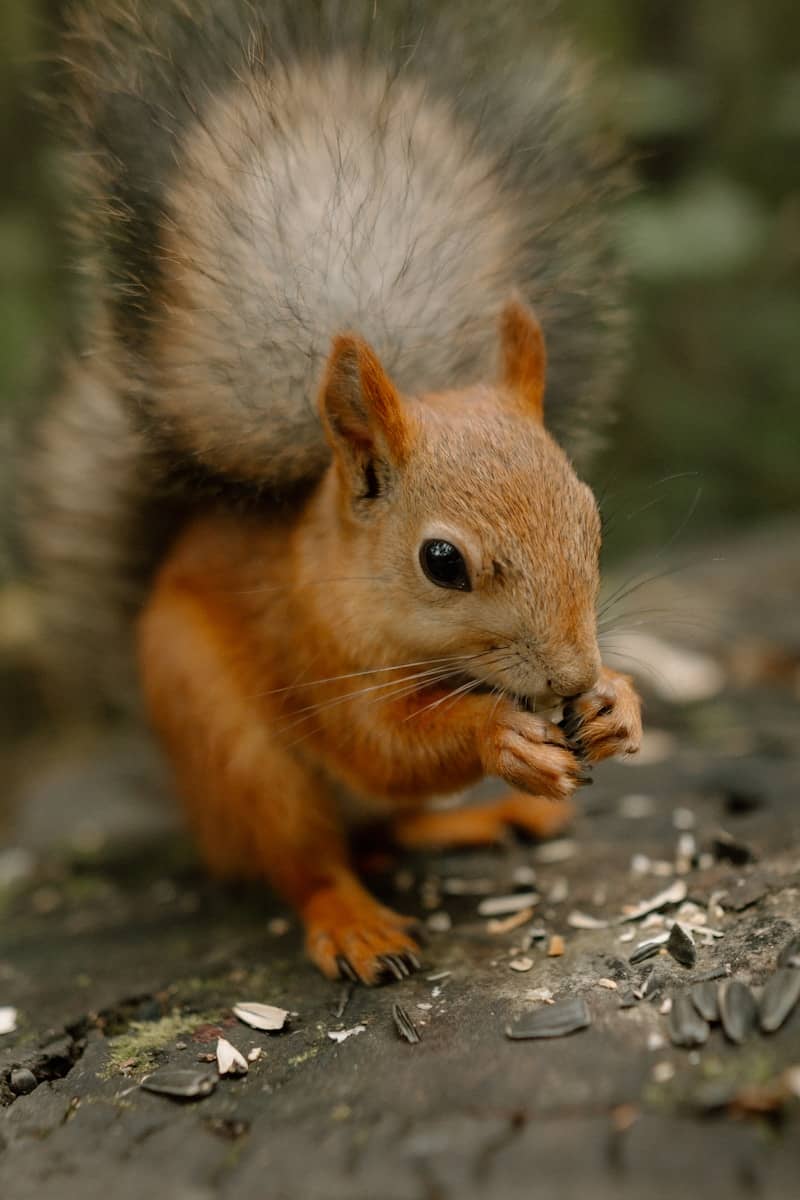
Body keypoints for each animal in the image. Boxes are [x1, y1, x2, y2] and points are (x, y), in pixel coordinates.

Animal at [25, 0, 642, 983]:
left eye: (591, 519)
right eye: (441, 562)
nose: (573, 678)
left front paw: (619, 703)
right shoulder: (308, 650)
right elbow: (381, 746)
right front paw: (497, 738)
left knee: (390, 831)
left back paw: (484, 818)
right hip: (231, 749)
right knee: (310, 861)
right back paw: (355, 923)